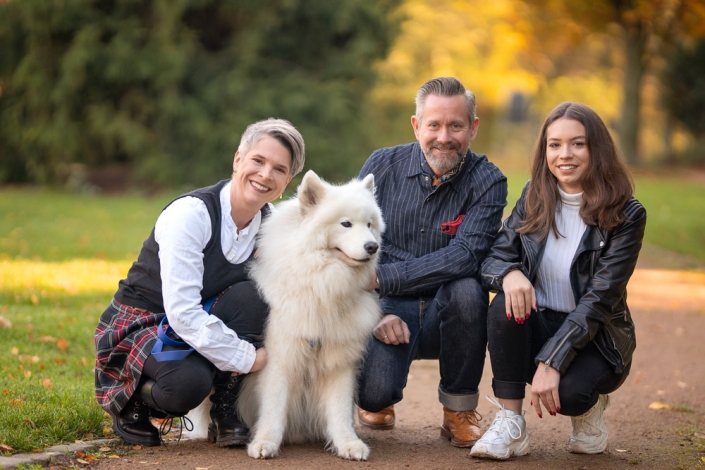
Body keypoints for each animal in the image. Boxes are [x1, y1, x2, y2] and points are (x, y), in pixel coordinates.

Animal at [184, 170, 384, 458]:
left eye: (369, 224)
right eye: (346, 224)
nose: (373, 246)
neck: (320, 285)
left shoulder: (339, 358)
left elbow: (339, 409)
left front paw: (348, 444)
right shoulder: (279, 358)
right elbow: (274, 408)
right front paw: (265, 443)